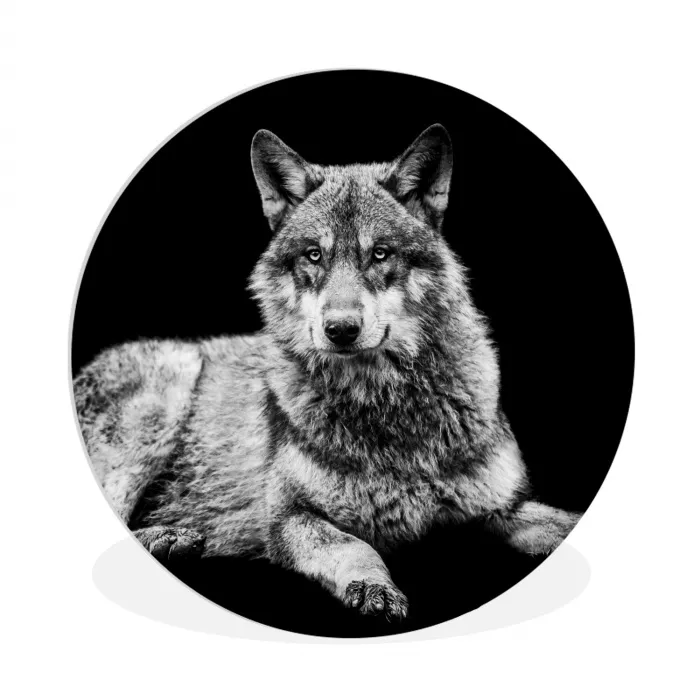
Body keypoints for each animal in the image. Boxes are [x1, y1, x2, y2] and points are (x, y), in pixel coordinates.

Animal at [73, 124, 580, 621]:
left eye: (380, 254)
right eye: (314, 255)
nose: (340, 330)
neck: (385, 407)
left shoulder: (503, 508)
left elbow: (560, 523)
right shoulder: (290, 518)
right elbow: (355, 546)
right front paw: (374, 587)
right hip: (167, 390)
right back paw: (169, 537)